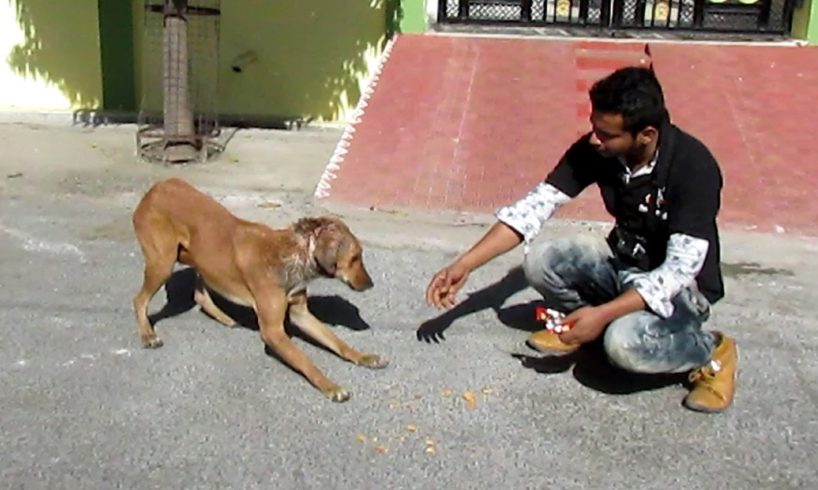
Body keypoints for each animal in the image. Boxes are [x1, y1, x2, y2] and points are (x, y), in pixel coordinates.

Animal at [132, 178, 388, 400]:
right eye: (355, 258)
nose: (371, 284)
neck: (293, 254)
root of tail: (156, 188)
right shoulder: (273, 331)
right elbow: (305, 360)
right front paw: (330, 386)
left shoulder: (301, 313)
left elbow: (337, 341)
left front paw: (363, 357)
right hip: (162, 263)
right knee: (139, 300)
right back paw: (148, 335)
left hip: (196, 258)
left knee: (200, 294)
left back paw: (224, 317)